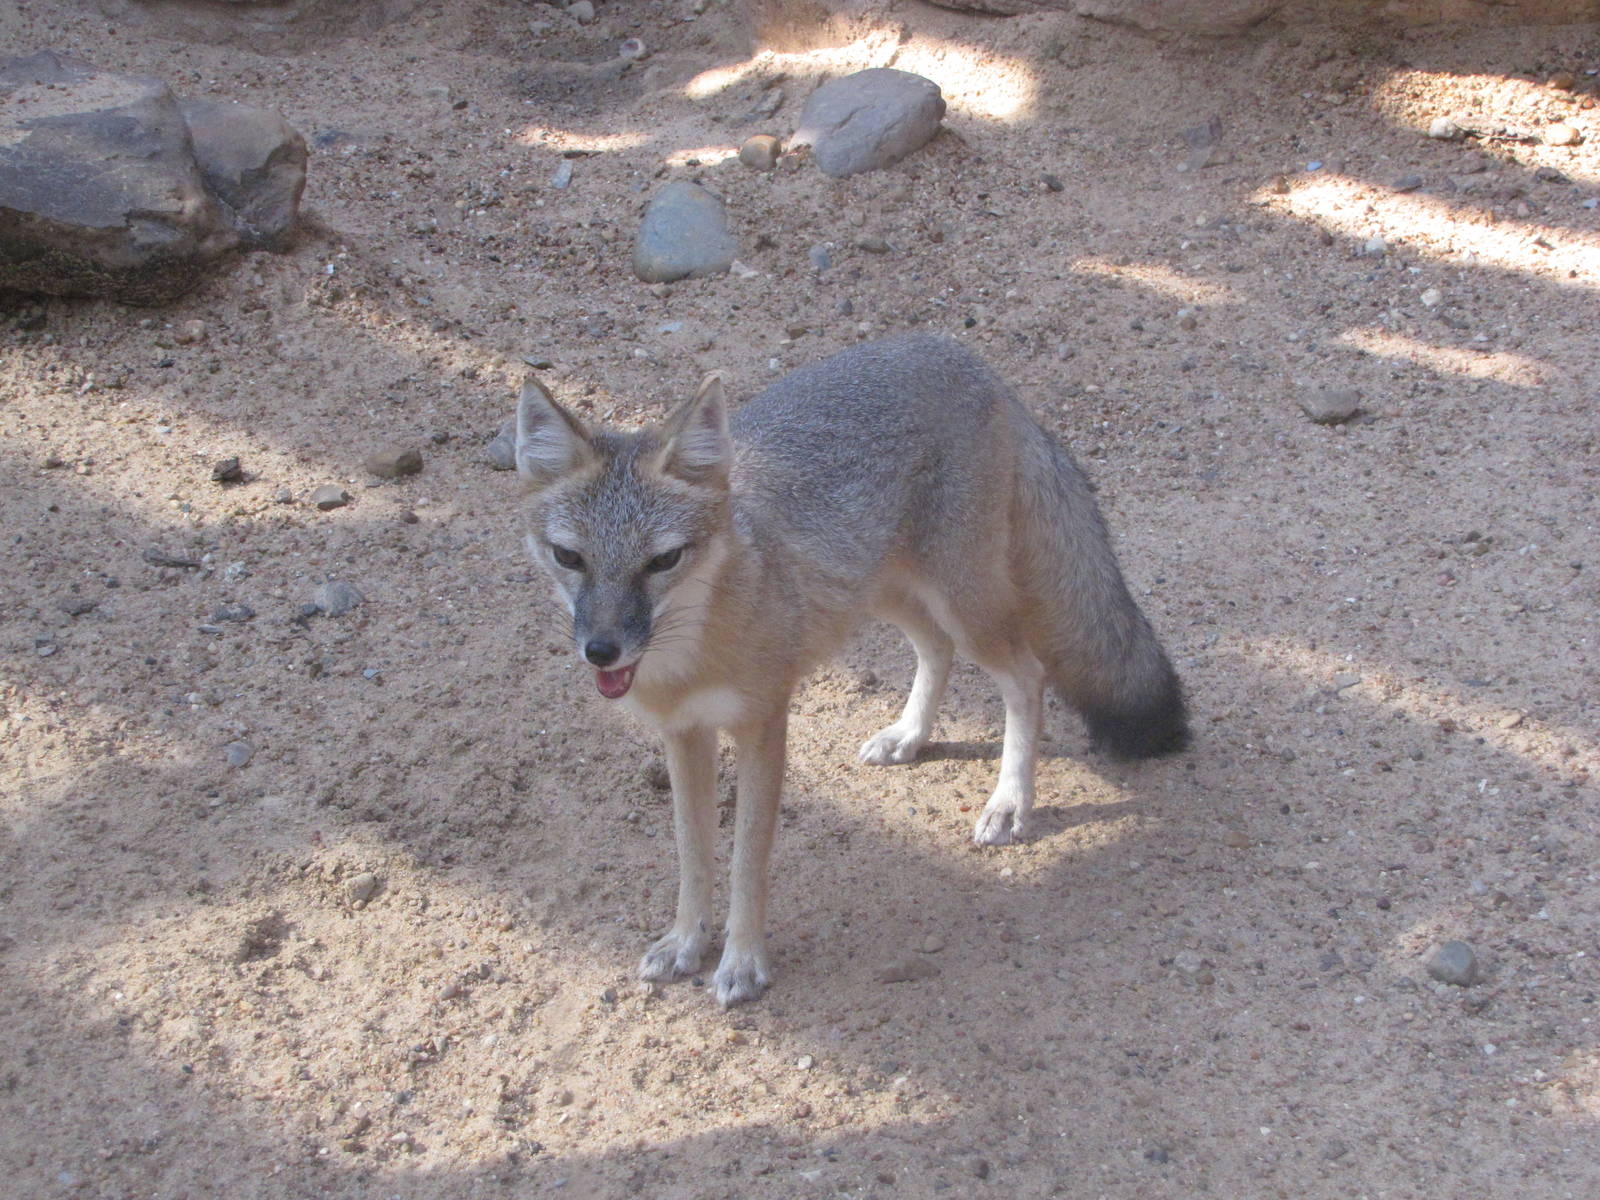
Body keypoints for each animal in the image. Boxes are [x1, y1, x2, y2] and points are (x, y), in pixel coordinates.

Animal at [512, 333, 1187, 1007]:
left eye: (663, 561)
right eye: (569, 558)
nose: (601, 650)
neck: (691, 657)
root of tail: (957, 353)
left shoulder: (763, 726)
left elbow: (747, 860)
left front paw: (742, 960)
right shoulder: (683, 734)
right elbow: (692, 853)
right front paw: (685, 941)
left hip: (963, 603)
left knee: (1027, 674)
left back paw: (1009, 800)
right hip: (882, 590)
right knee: (935, 647)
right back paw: (910, 736)